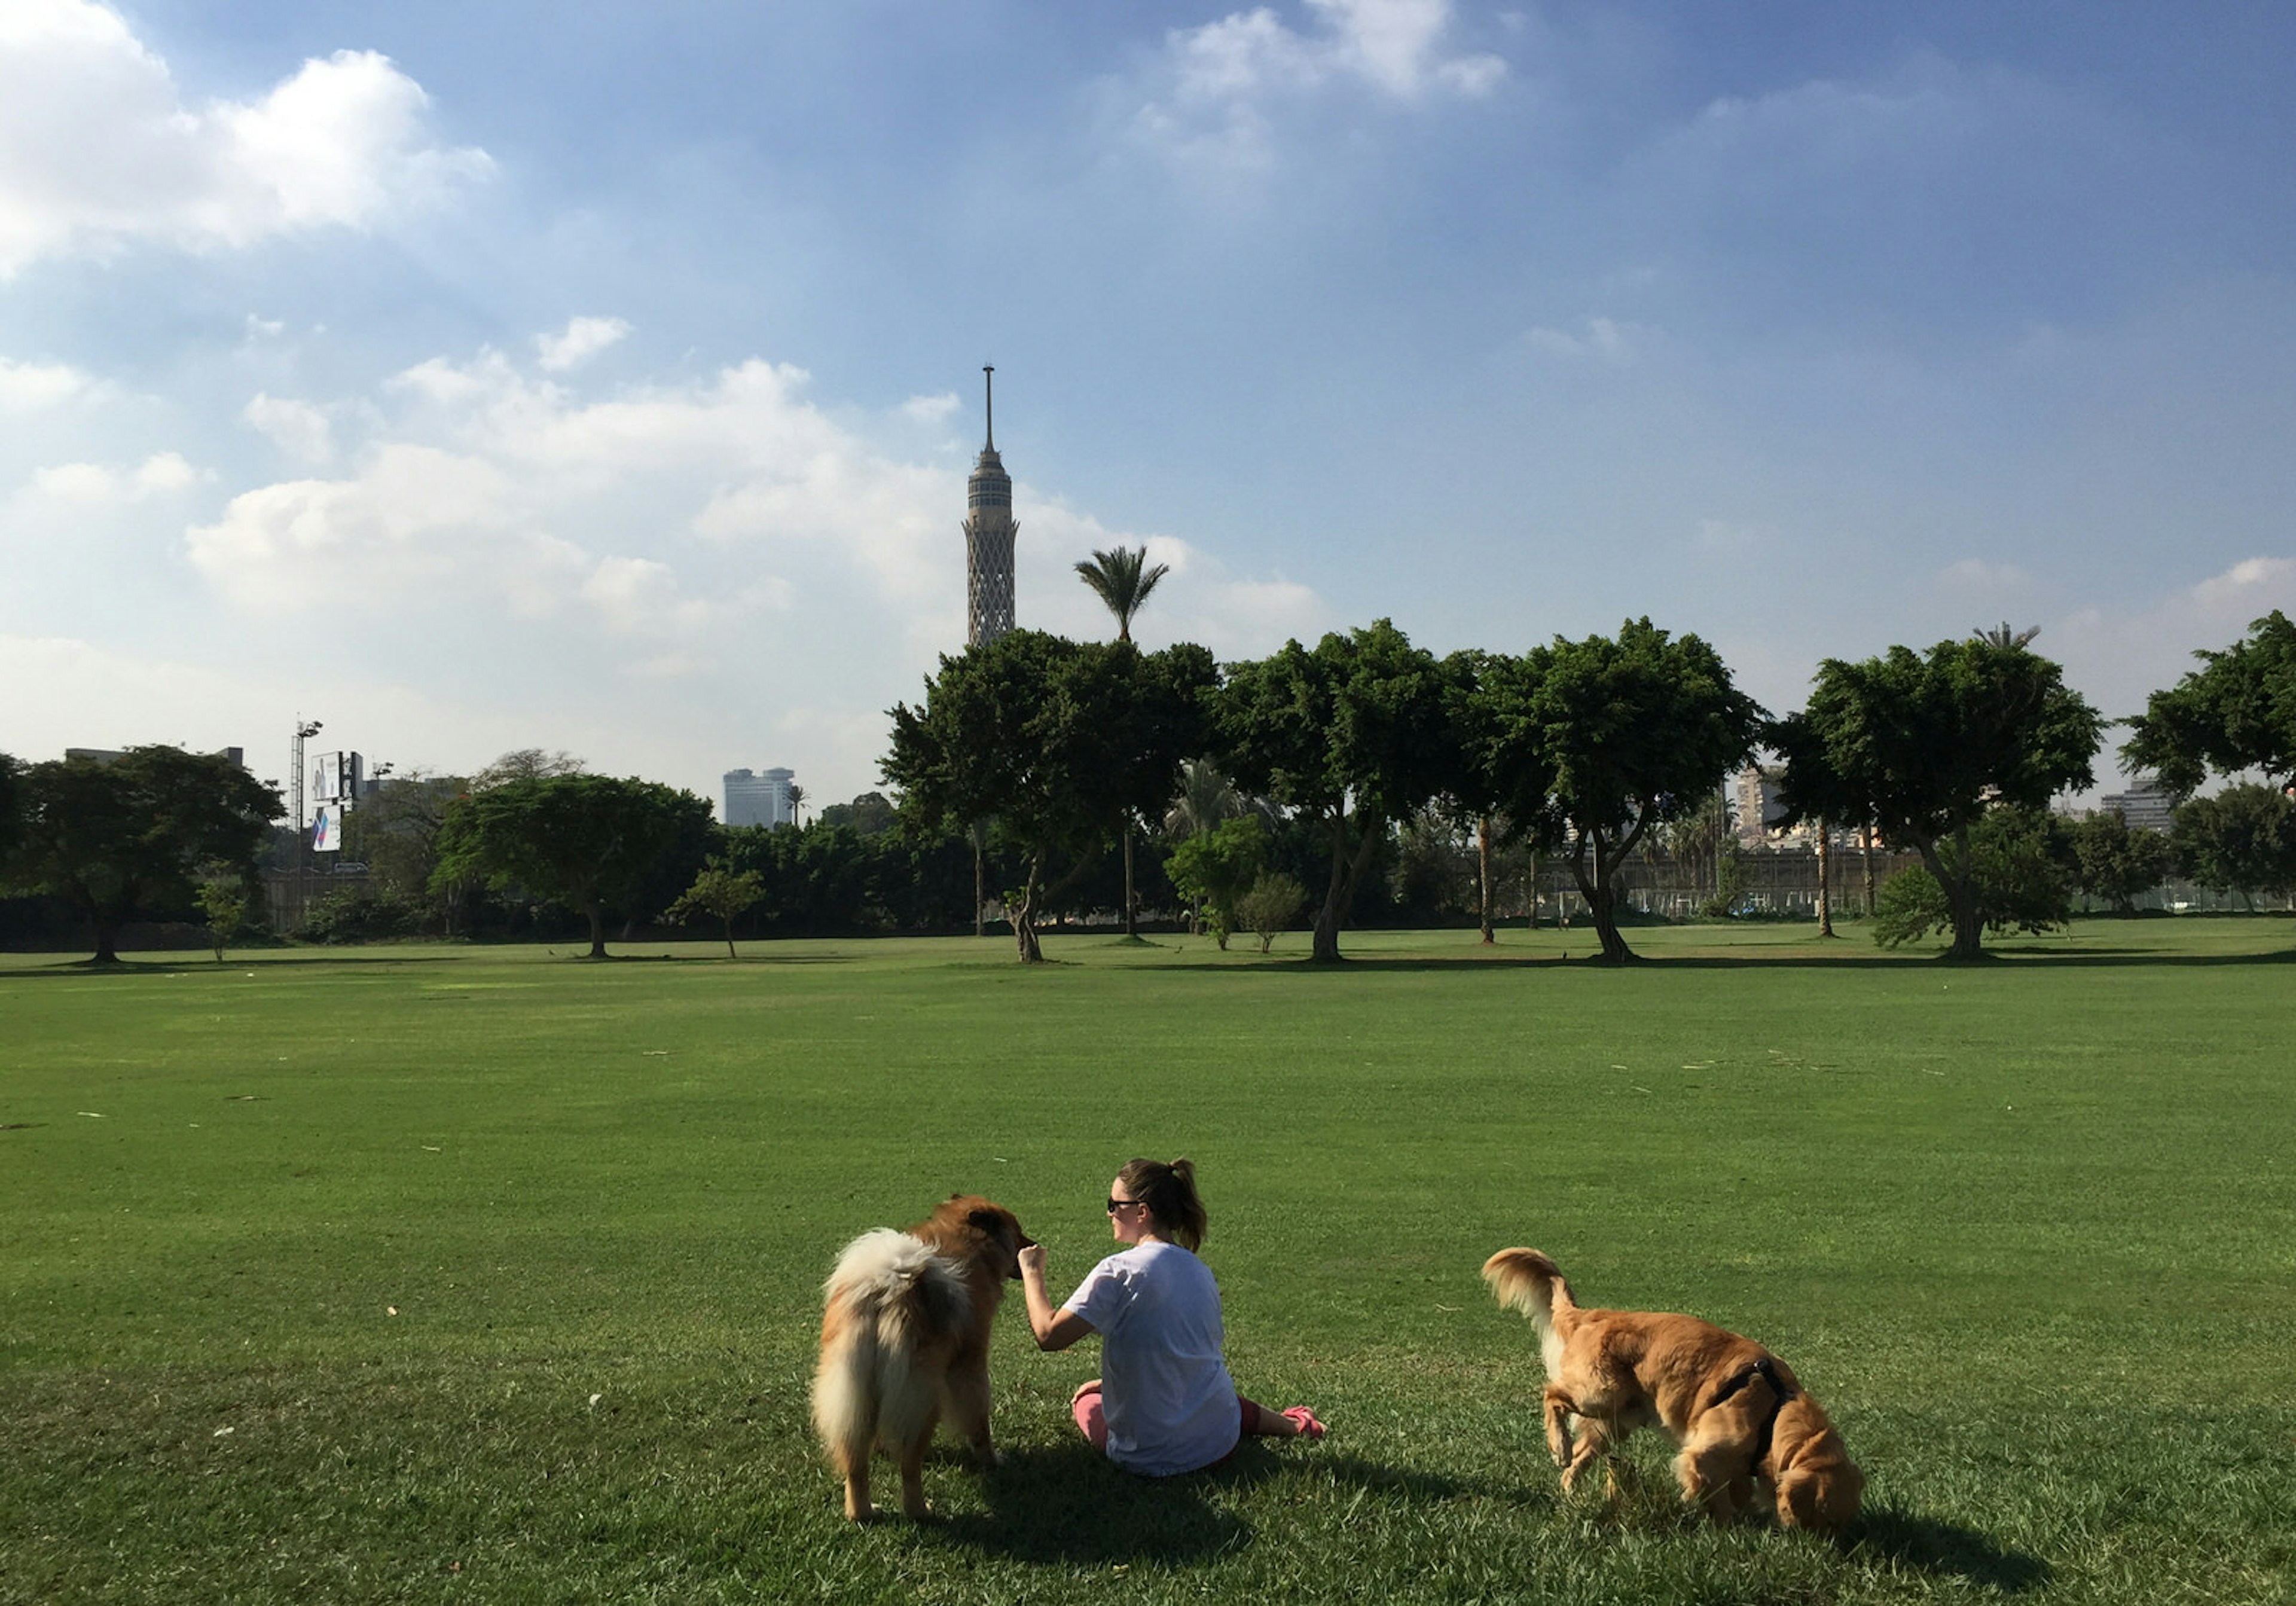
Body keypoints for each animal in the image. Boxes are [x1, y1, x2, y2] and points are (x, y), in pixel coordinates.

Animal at [804, 1204, 1028, 1525]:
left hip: (852, 1391)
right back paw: (921, 1511)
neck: (967, 1240)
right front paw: (992, 1460)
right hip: (923, 1397)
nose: (1034, 1246)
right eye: (1018, 1232)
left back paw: (863, 1513)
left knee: (856, 1466)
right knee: (909, 1468)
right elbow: (979, 1422)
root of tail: (886, 1286)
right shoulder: (971, 1365)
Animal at [1488, 1250, 1864, 1534]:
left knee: (1578, 1460)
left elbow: (1736, 1492)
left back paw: (1571, 1493)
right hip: (1600, 1393)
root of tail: (1592, 1315)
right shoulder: (1702, 1455)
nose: (1822, 1548)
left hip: (1615, 1422)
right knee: (1551, 1395)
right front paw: (1726, 1529)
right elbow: (1715, 1497)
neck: (1774, 1411)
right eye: (1827, 1519)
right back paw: (1559, 1445)